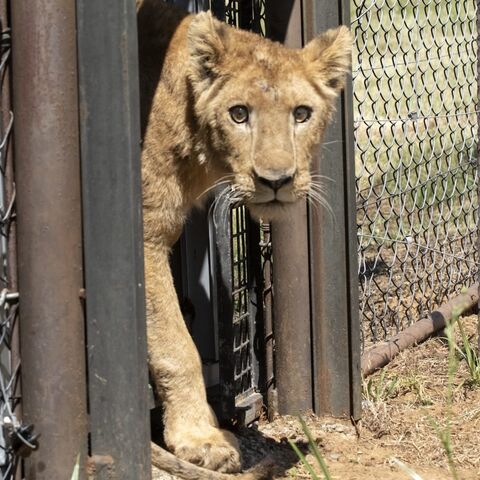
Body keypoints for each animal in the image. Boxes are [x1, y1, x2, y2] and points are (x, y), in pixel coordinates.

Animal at [137, 0, 350, 476]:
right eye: (239, 114)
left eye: (301, 114)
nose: (276, 180)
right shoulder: (144, 232)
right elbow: (177, 345)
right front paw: (199, 437)